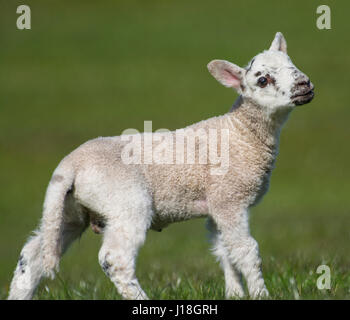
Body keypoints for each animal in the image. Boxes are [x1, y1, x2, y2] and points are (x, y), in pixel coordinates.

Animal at [8, 32, 314, 300]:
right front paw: (261, 294)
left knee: (32, 256)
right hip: (126, 202)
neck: (241, 132)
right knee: (114, 259)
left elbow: (224, 251)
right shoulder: (230, 198)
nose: (304, 85)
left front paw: (235, 294)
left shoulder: (216, 203)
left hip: (68, 210)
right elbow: (245, 250)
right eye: (263, 80)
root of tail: (70, 165)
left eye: (292, 64)